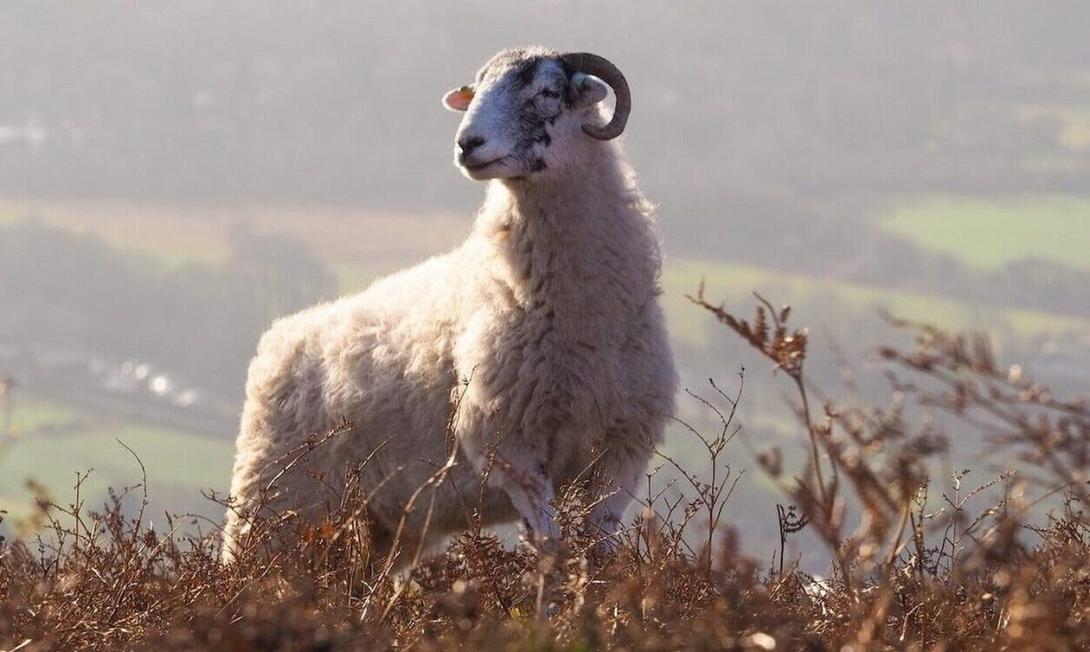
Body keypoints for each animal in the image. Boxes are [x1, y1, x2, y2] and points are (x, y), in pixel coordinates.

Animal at [222, 47, 675, 566]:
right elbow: (549, 549)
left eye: (545, 91)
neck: (580, 321)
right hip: (278, 500)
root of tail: (276, 340)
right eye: (476, 92)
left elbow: (597, 553)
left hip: (379, 524)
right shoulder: (511, 445)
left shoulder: (622, 451)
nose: (467, 143)